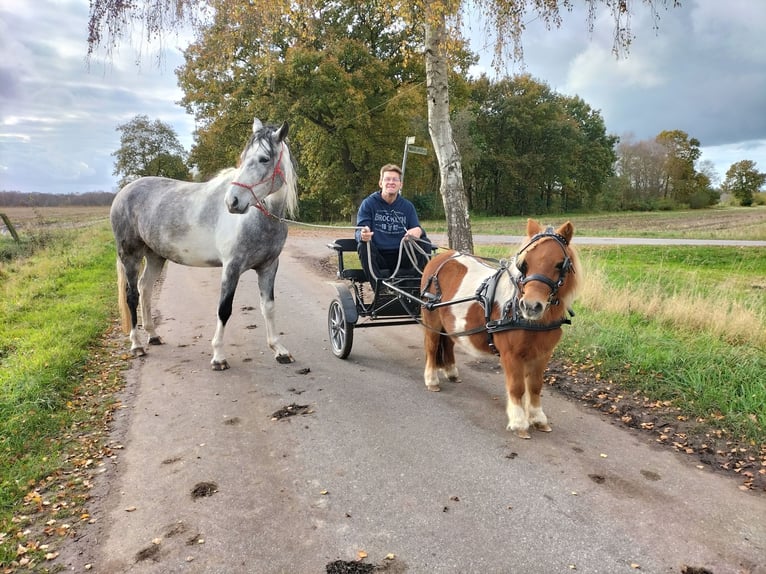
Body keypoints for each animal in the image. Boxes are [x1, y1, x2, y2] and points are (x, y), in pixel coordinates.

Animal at [110, 117, 298, 370]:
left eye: (264, 159)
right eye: (243, 157)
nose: (233, 201)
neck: (258, 218)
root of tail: (123, 192)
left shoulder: (269, 267)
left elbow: (268, 307)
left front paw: (279, 350)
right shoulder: (231, 267)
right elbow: (224, 309)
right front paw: (218, 356)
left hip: (155, 256)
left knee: (145, 288)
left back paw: (153, 335)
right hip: (130, 255)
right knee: (132, 295)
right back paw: (137, 345)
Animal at [419, 219, 580, 438]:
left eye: (559, 264)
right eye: (524, 264)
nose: (531, 306)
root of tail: (440, 258)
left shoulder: (543, 355)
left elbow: (535, 386)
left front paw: (538, 419)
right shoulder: (510, 355)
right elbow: (517, 387)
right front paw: (519, 422)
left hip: (450, 323)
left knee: (448, 343)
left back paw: (451, 372)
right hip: (432, 319)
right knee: (431, 346)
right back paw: (432, 380)